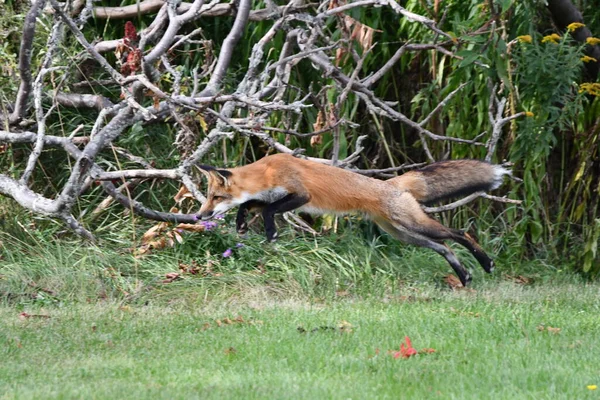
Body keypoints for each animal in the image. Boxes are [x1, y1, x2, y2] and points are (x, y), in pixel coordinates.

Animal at [197, 155, 510, 286]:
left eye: (215, 197)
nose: (199, 216)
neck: (267, 171)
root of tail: (391, 184)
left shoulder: (300, 194)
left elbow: (266, 211)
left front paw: (271, 231)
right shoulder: (269, 195)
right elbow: (249, 204)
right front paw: (240, 223)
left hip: (414, 225)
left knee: (460, 234)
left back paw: (485, 263)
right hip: (404, 234)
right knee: (444, 247)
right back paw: (464, 276)